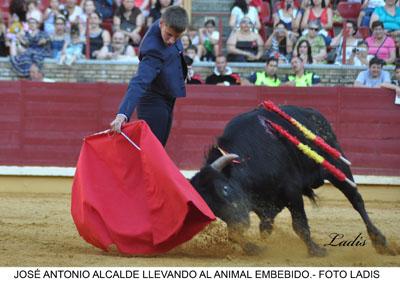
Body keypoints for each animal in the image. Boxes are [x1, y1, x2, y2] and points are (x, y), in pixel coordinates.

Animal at [191, 104, 396, 256]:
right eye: (212, 210)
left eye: (225, 189)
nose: (239, 225)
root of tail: (312, 112)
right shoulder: (262, 205)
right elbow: (253, 232)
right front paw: (256, 247)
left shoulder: (292, 191)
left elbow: (299, 225)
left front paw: (316, 251)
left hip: (338, 167)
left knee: (356, 200)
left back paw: (381, 242)